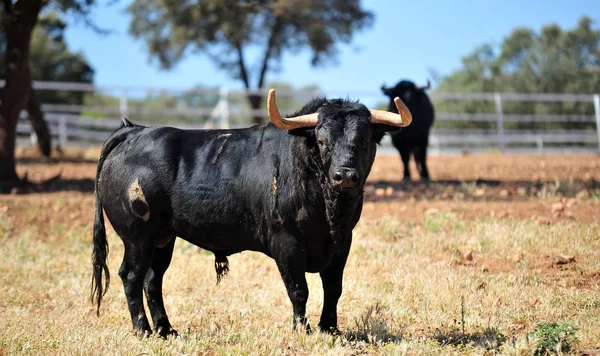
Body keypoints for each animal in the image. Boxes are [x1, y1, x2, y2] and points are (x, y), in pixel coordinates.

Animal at [91, 88, 412, 336]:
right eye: (322, 141)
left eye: (364, 140)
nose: (344, 175)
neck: (327, 209)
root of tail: (134, 131)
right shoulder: (286, 242)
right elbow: (299, 288)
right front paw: (303, 330)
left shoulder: (342, 242)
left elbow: (333, 288)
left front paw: (329, 328)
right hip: (137, 237)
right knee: (131, 277)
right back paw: (144, 330)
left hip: (163, 239)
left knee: (152, 280)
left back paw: (166, 329)